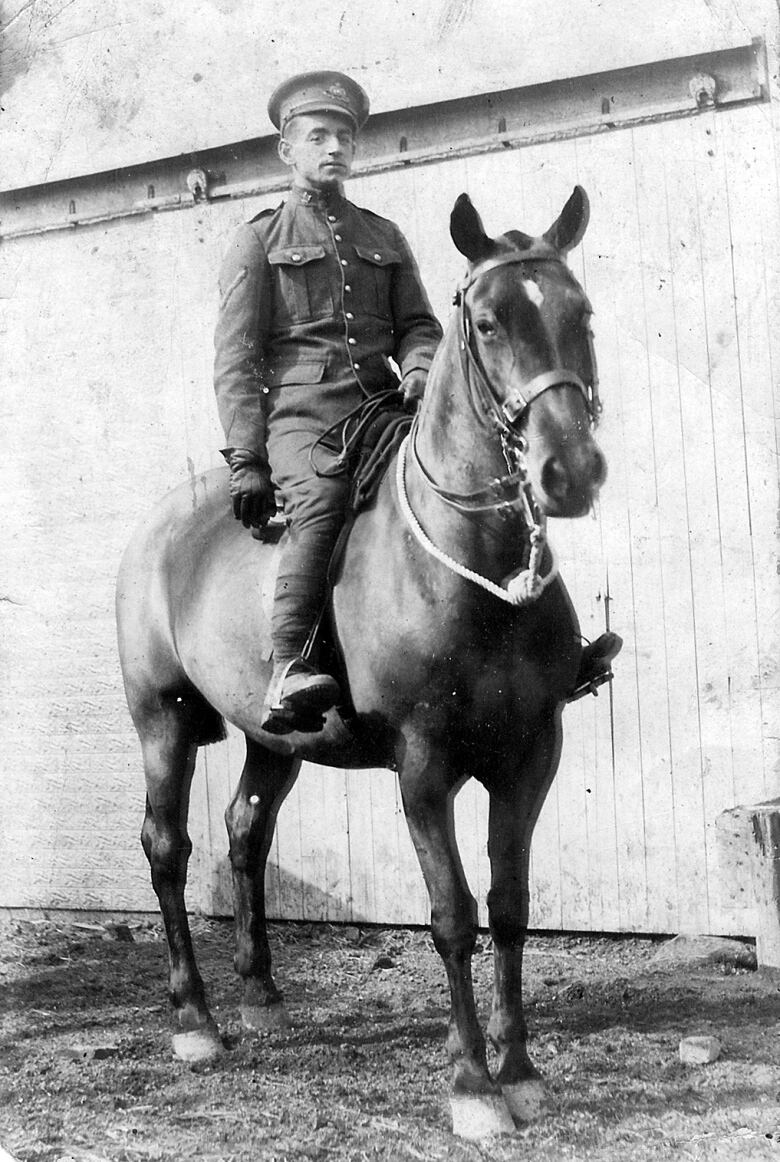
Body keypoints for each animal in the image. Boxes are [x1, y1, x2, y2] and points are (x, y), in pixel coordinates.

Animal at [117, 185, 609, 1138]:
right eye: (488, 323)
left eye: (582, 313)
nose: (570, 472)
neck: (470, 568)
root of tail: (162, 522)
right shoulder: (423, 764)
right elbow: (453, 913)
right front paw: (473, 1086)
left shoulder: (532, 756)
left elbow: (512, 906)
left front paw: (522, 1072)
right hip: (161, 721)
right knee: (168, 846)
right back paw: (195, 1020)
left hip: (274, 738)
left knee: (245, 830)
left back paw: (262, 996)